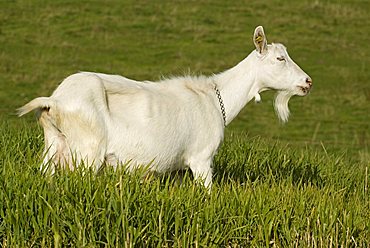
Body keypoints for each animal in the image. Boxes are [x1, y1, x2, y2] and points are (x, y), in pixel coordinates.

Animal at [18, 26, 310, 187]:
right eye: (280, 58)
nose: (307, 82)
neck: (215, 99)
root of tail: (56, 100)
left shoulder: (179, 168)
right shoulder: (201, 158)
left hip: (53, 145)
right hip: (87, 151)